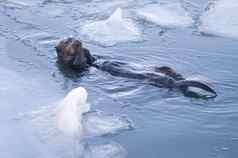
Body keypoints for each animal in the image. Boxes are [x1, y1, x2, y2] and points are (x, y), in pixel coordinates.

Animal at [55, 37, 218, 98]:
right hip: (160, 79)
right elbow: (75, 63)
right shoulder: (74, 66)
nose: (76, 40)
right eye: (66, 42)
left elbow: (92, 58)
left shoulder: (91, 60)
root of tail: (175, 82)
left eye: (70, 38)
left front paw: (86, 50)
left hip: (165, 70)